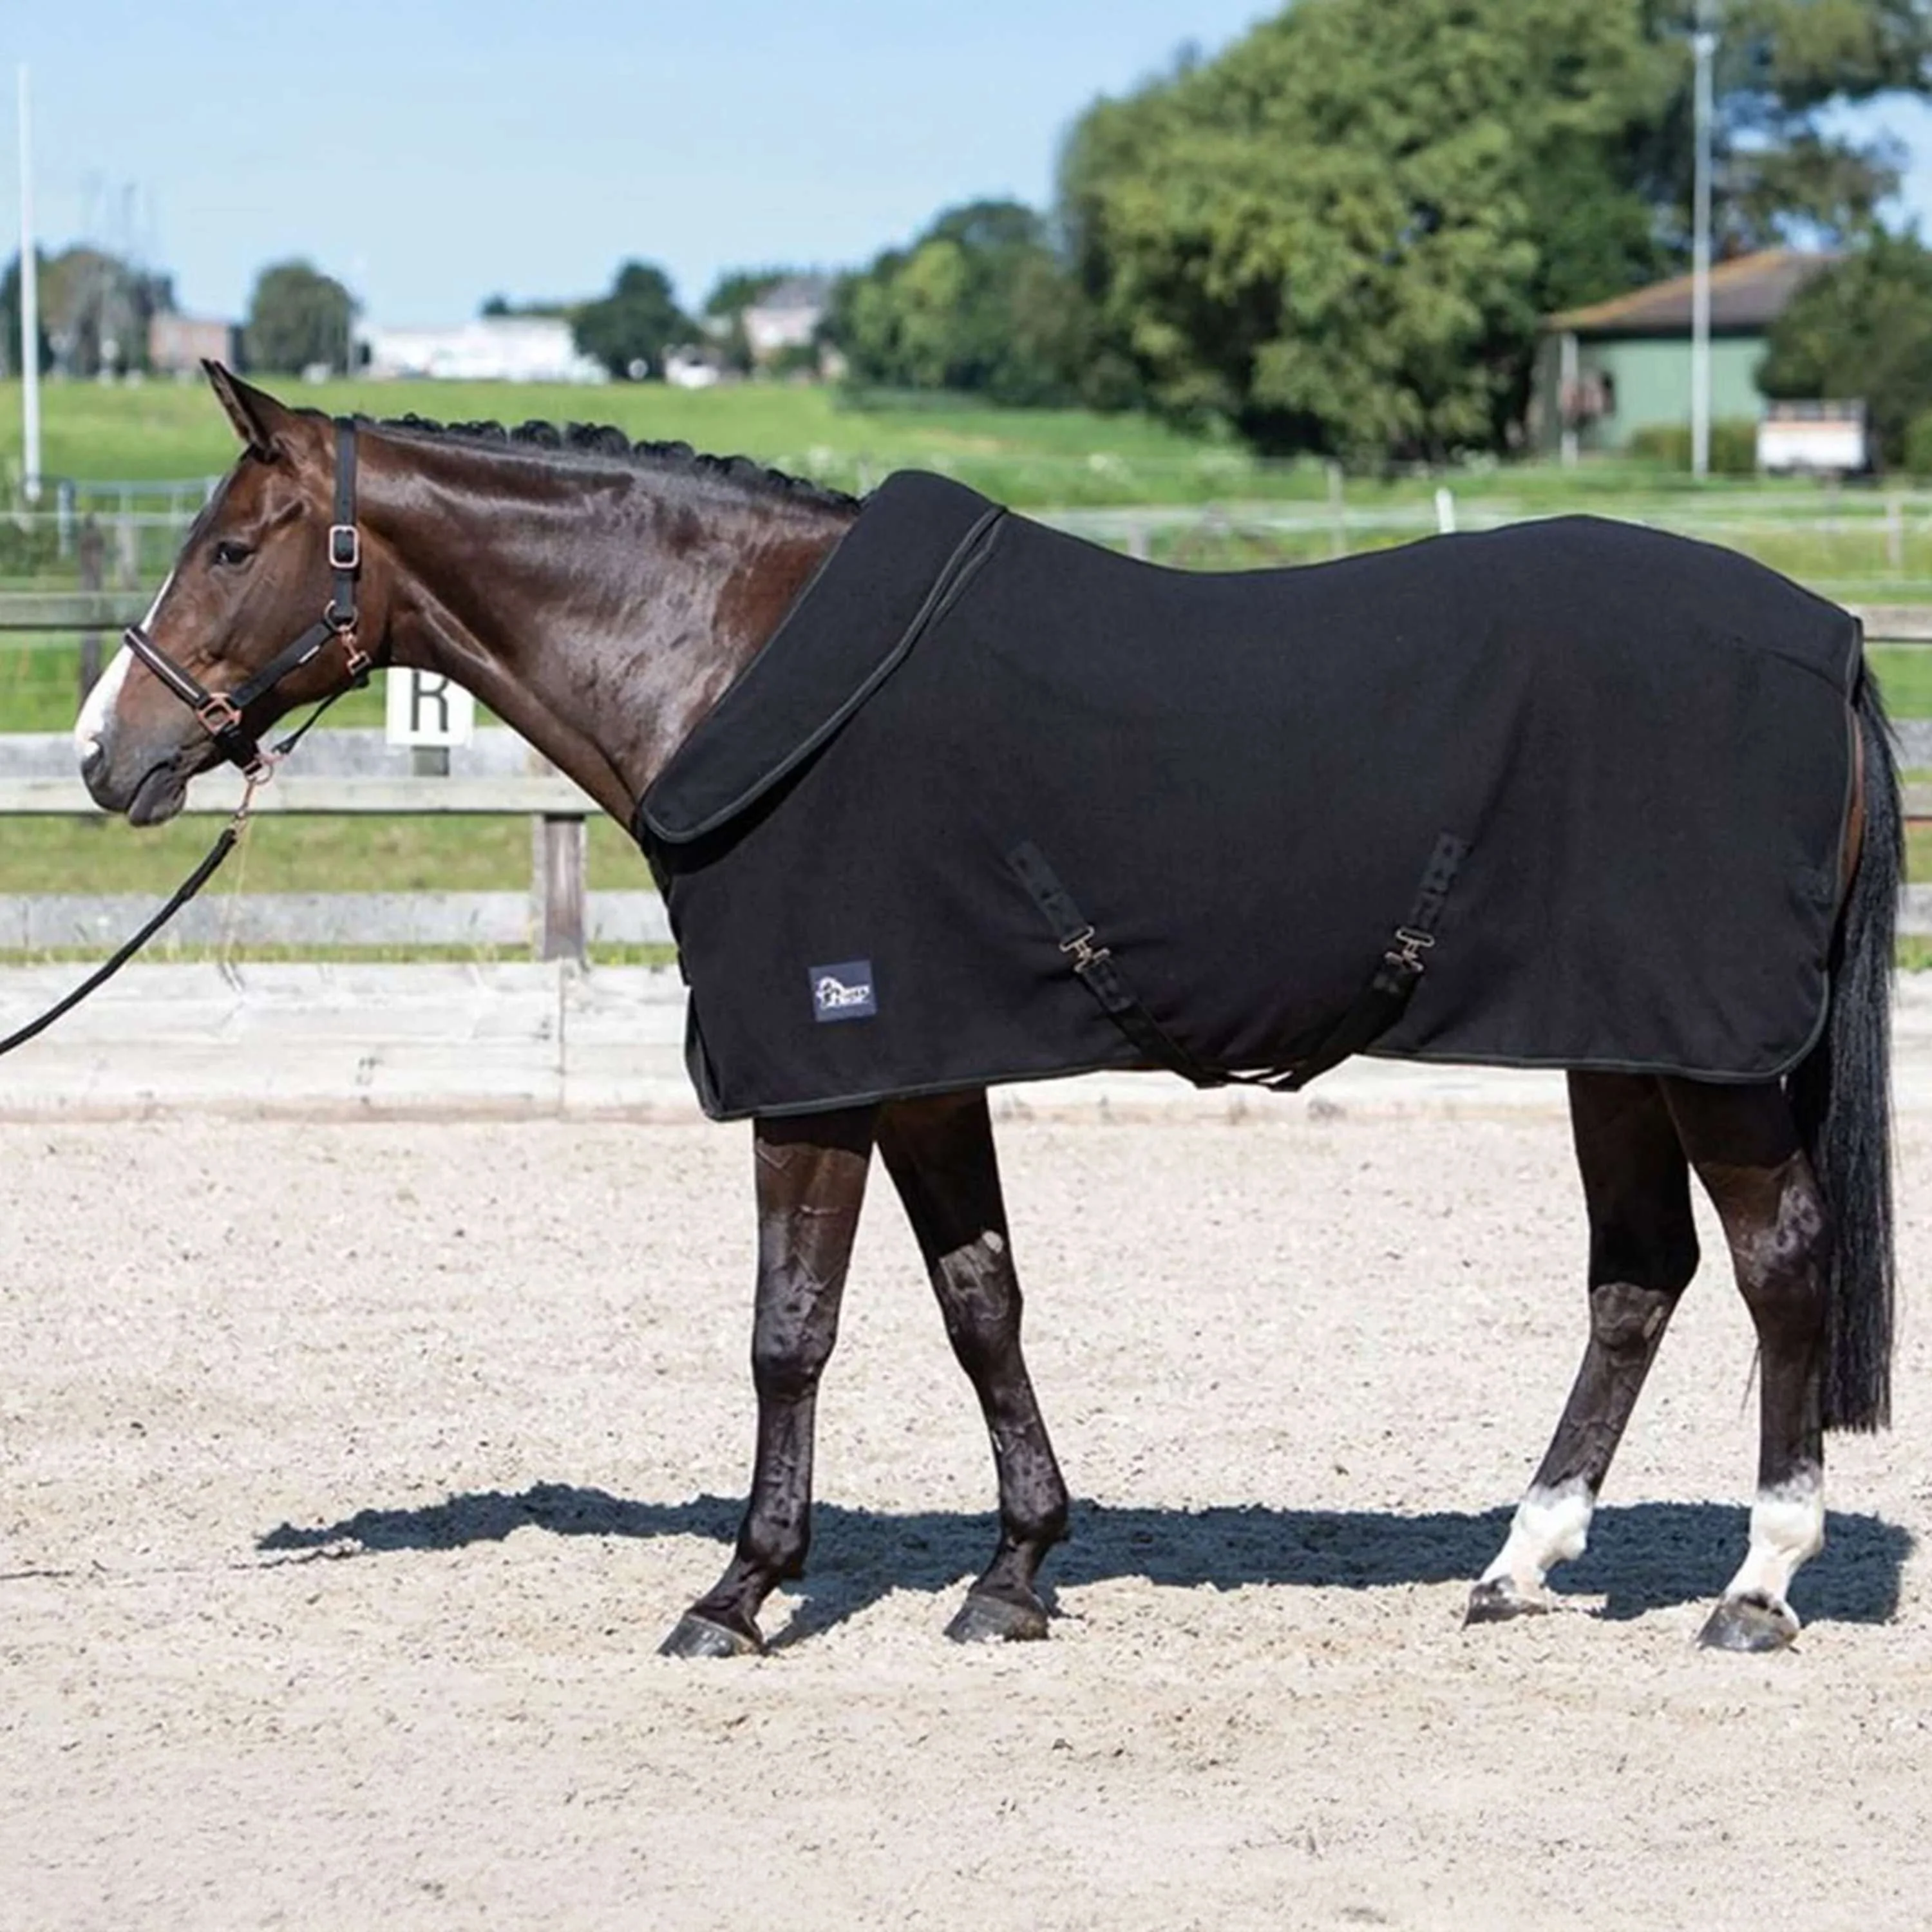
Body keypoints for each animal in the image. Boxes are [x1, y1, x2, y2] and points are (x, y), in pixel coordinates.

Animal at [75, 365, 1900, 1658]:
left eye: (229, 547)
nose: (106, 754)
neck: (734, 658)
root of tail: (1827, 642)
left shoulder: (819, 1073)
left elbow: (789, 1330)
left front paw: (740, 1589)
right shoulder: (924, 1069)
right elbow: (981, 1304)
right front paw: (1014, 1569)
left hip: (1703, 1058)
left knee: (1778, 1260)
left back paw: (1758, 1581)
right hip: (1622, 1042)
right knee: (1638, 1278)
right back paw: (1520, 1561)